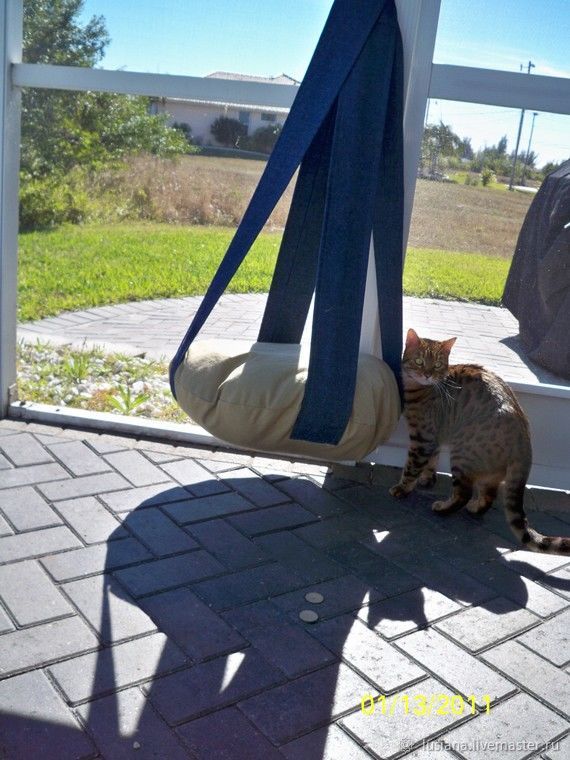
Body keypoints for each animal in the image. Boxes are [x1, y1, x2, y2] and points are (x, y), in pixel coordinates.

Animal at [389, 328, 570, 555]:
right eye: (420, 361)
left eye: (438, 364)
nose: (428, 374)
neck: (421, 389)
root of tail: (524, 438)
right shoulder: (435, 437)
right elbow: (432, 460)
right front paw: (427, 478)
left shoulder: (423, 437)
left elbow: (412, 466)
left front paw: (403, 488)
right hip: (487, 467)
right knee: (489, 495)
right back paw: (475, 508)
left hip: (462, 453)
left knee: (463, 493)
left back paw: (443, 508)